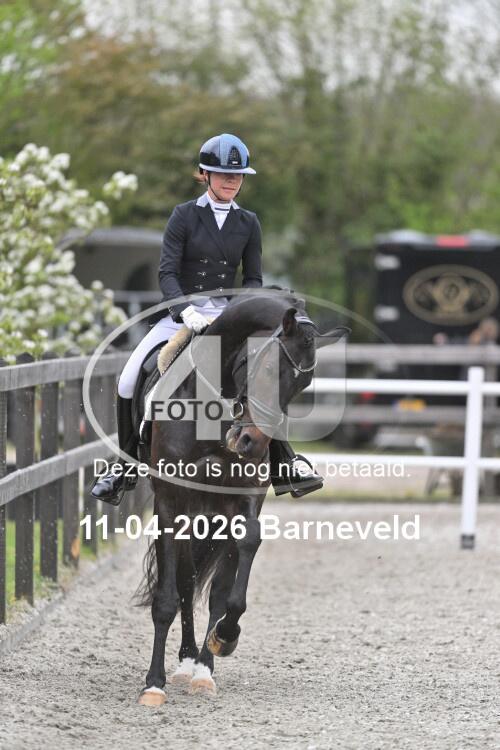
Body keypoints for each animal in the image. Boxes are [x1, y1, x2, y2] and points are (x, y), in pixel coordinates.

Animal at [135, 289, 348, 705]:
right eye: (265, 370)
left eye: (302, 386)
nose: (251, 442)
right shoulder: (169, 501)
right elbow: (167, 596)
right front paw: (153, 683)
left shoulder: (243, 500)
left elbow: (232, 580)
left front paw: (224, 639)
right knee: (185, 581)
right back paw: (183, 663)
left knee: (204, 585)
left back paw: (200, 667)